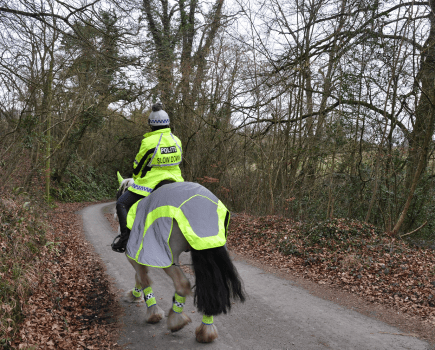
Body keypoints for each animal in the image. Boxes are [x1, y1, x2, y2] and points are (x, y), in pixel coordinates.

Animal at [114, 174, 247, 344]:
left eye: (119, 193)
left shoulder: (134, 253)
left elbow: (142, 278)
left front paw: (152, 313)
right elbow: (140, 277)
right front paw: (134, 295)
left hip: (170, 255)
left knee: (183, 284)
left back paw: (176, 321)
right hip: (208, 248)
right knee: (211, 289)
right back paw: (206, 331)